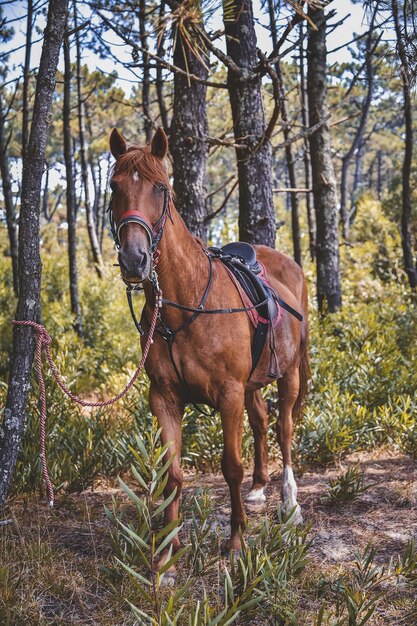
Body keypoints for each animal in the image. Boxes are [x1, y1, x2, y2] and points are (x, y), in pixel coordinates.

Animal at [107, 127, 308, 572]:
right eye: (114, 187)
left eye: (161, 188)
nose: (134, 259)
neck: (184, 303)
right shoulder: (164, 398)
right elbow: (173, 473)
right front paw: (168, 550)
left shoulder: (229, 394)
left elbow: (230, 466)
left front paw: (236, 542)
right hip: (252, 385)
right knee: (262, 421)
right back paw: (259, 487)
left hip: (288, 374)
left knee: (284, 427)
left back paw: (289, 502)